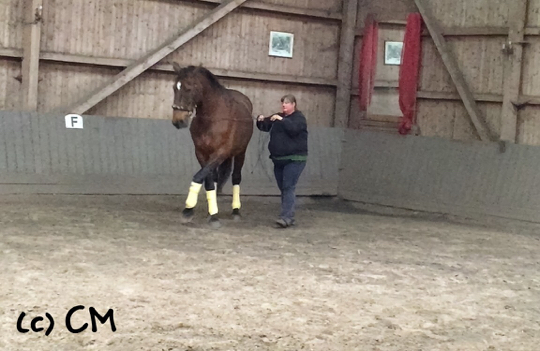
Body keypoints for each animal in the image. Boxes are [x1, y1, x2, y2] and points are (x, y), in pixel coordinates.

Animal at [171, 63, 253, 228]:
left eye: (188, 88)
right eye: (174, 87)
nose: (178, 121)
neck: (212, 117)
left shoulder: (220, 153)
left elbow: (198, 177)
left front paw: (187, 210)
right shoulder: (201, 153)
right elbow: (208, 181)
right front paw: (213, 215)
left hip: (240, 153)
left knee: (236, 177)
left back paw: (236, 211)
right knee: (214, 178)